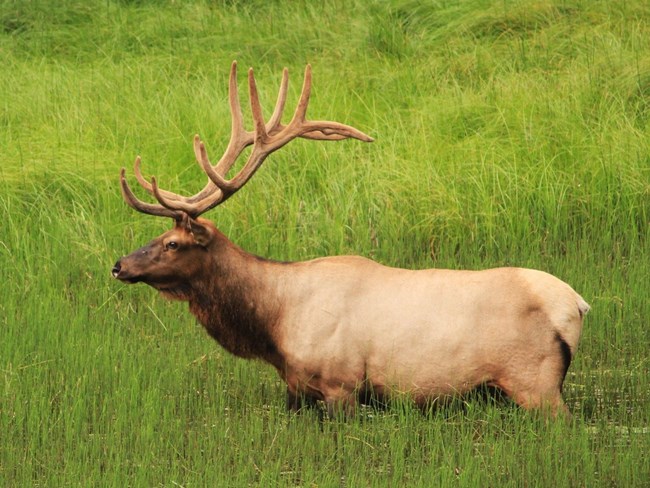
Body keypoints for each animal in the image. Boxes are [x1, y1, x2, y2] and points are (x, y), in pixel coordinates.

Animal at [112, 61, 589, 418]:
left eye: (173, 243)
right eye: (159, 235)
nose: (119, 265)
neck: (274, 326)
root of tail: (577, 305)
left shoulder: (340, 383)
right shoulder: (296, 391)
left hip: (535, 383)